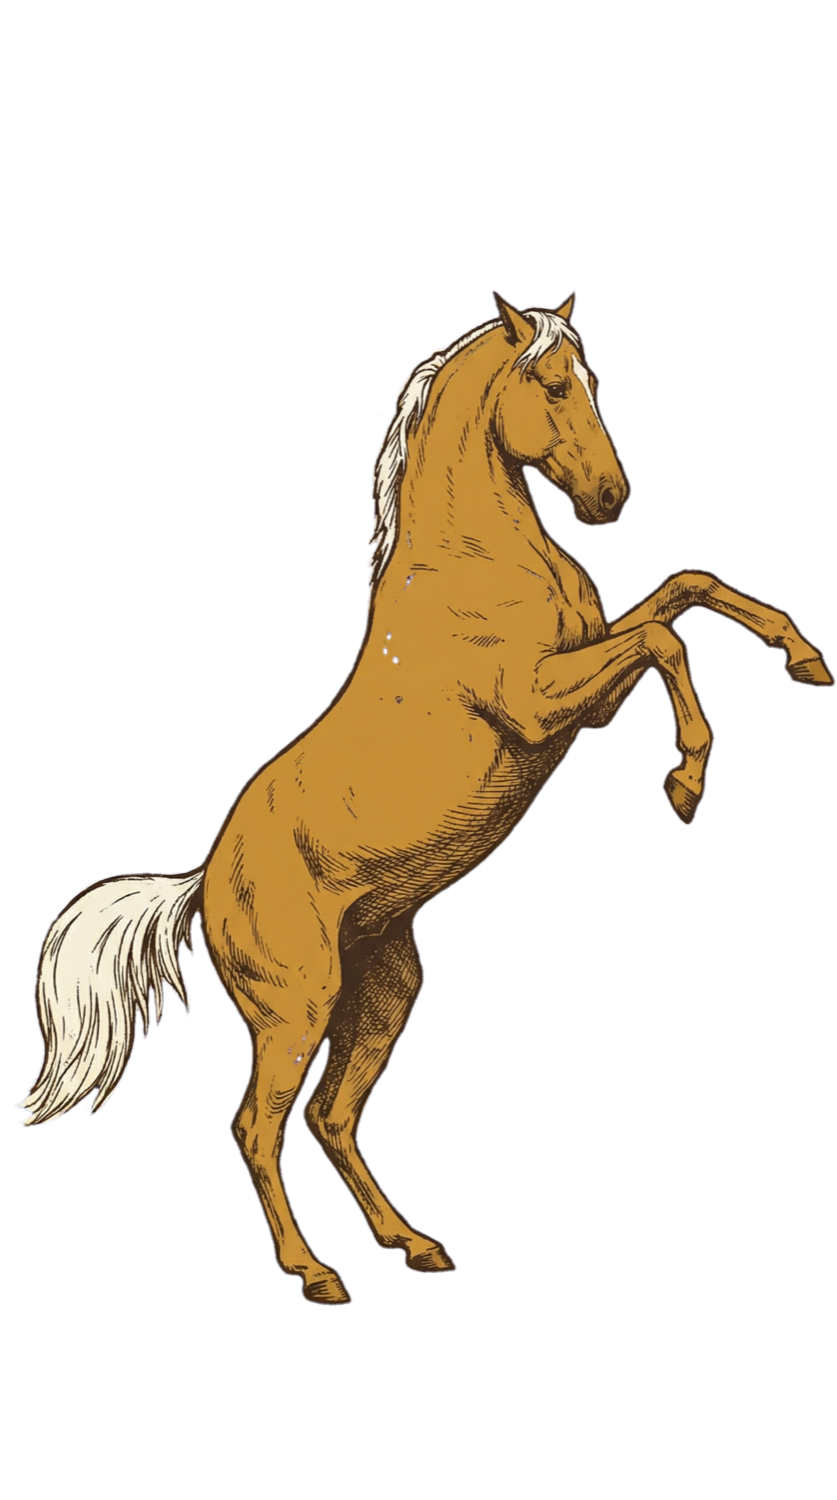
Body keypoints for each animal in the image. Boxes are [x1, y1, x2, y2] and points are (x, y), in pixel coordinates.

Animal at [16, 291, 833, 1305]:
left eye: (595, 380)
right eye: (552, 384)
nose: (611, 502)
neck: (480, 561)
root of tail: (202, 882)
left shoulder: (590, 693)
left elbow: (688, 590)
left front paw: (804, 659)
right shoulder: (543, 705)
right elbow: (664, 642)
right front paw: (686, 783)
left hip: (383, 988)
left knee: (330, 1118)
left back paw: (415, 1245)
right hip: (295, 1008)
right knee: (258, 1126)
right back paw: (317, 1275)